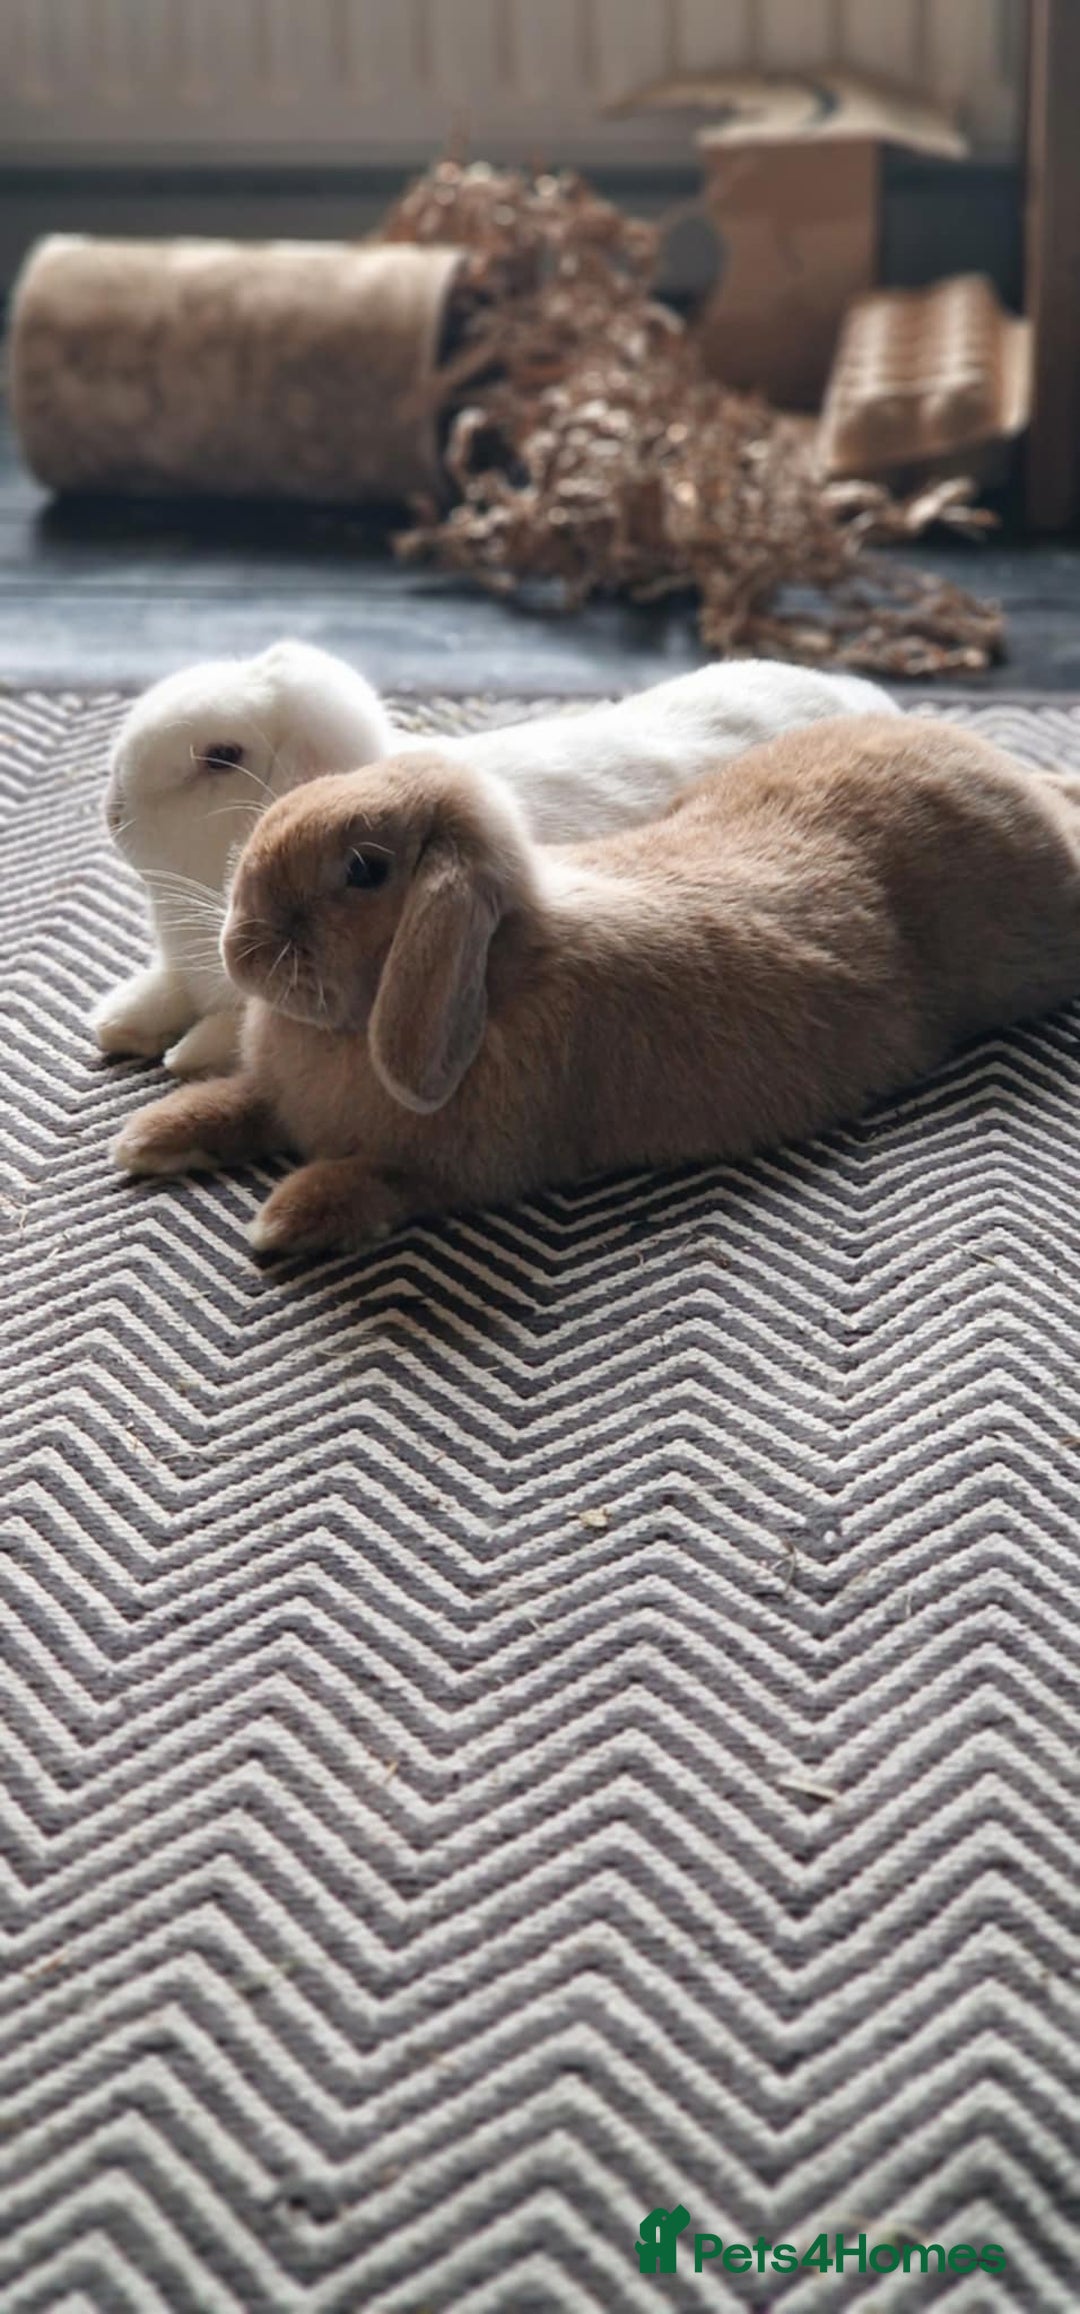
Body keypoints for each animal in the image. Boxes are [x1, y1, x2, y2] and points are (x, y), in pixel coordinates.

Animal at [92, 636, 896, 1076]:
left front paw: (182, 1056)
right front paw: (116, 1023)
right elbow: (163, 990)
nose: (113, 813)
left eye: (220, 757)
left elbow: (226, 1030)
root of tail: (872, 705)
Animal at [111, 714, 1080, 1261]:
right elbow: (242, 1103)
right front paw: (156, 1136)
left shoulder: (455, 1167)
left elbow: (375, 1180)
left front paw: (283, 1218)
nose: (239, 948)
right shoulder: (281, 1098)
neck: (493, 977)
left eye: (363, 869)